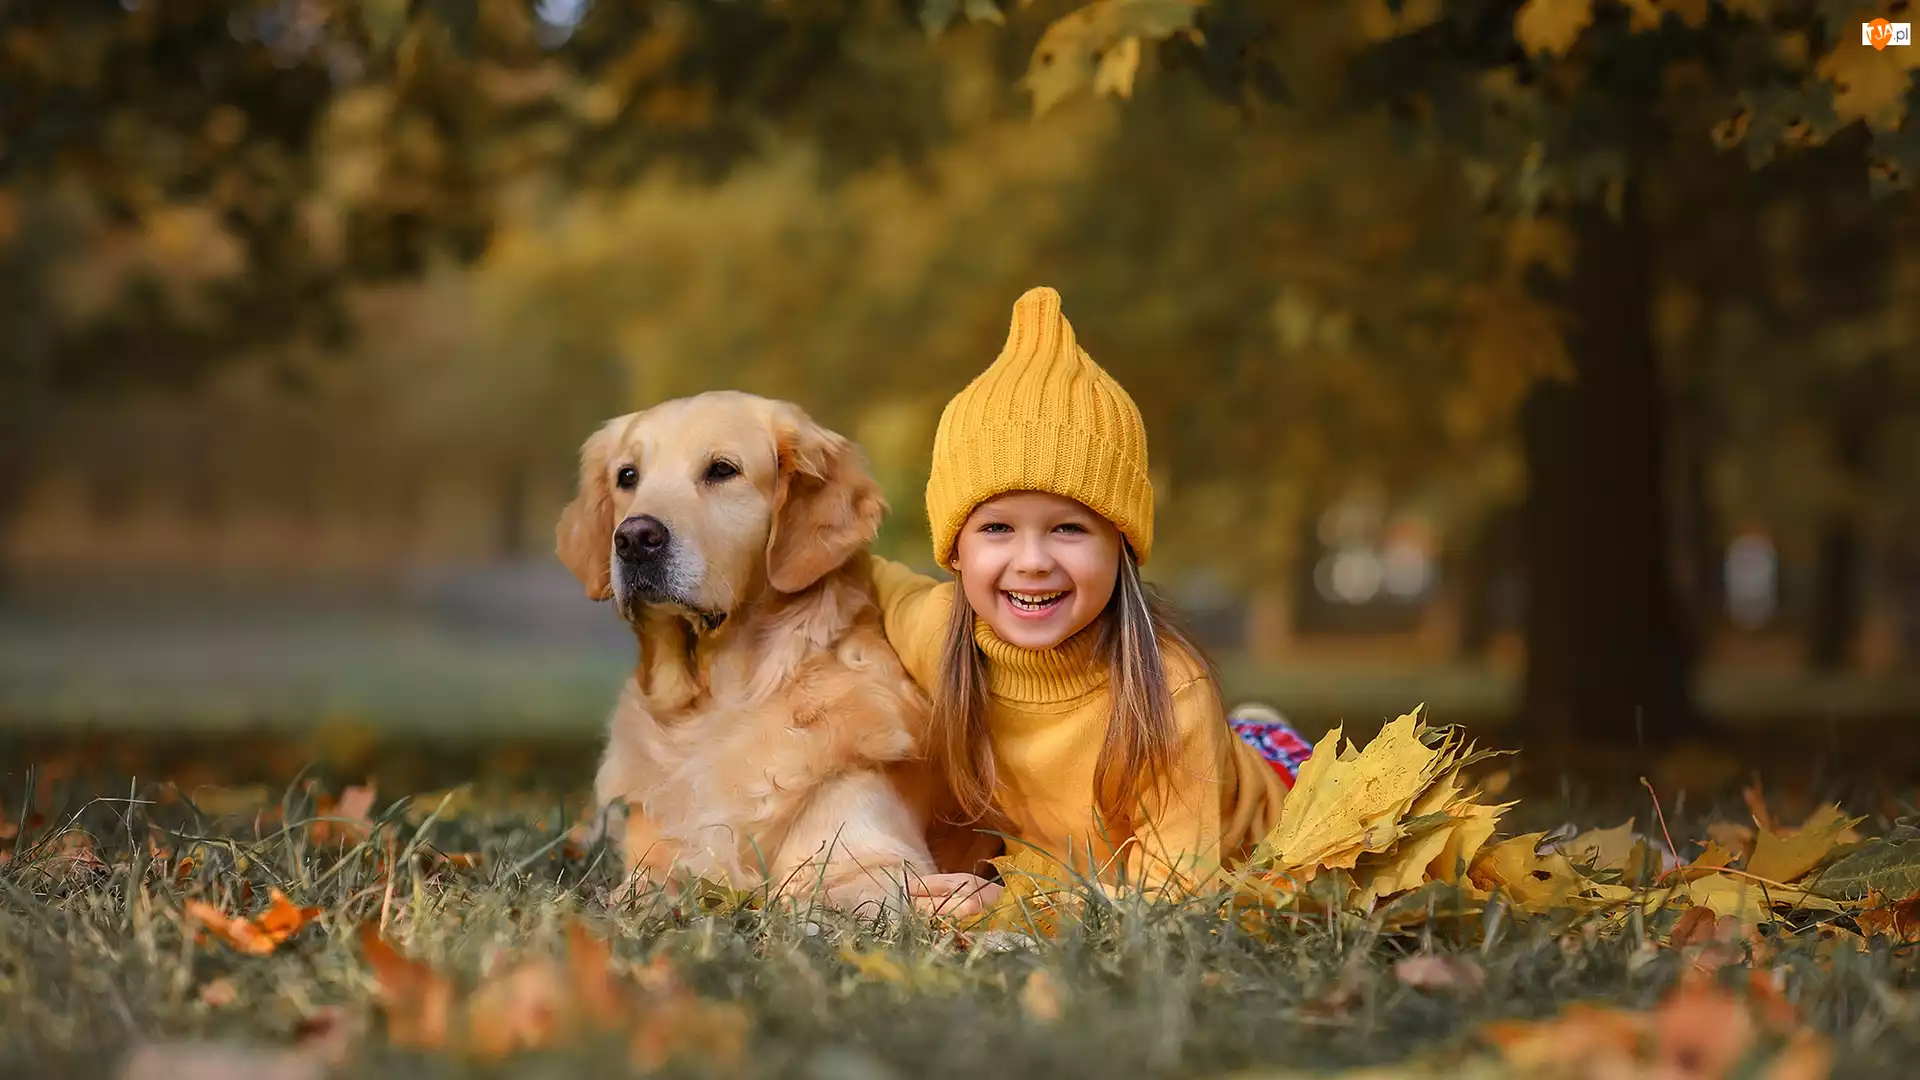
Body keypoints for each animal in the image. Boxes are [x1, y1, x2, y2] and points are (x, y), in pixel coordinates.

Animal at [556, 388, 944, 907]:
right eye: (628, 476)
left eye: (722, 470)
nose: (634, 538)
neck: (717, 704)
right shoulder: (651, 862)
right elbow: (640, 889)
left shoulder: (874, 859)